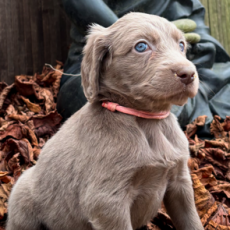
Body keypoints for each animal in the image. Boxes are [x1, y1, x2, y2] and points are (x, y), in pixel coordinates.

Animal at [5, 12, 203, 230]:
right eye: (141, 46)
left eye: (182, 45)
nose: (189, 74)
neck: (146, 120)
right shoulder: (107, 202)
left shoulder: (180, 183)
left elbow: (192, 221)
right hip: (22, 195)